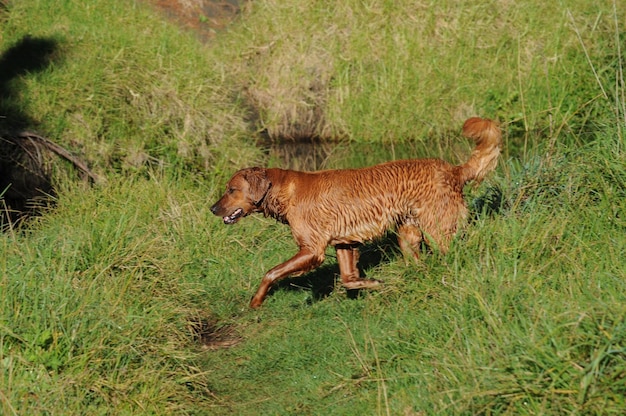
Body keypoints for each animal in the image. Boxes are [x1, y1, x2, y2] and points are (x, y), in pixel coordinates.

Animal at [212, 116, 500, 306]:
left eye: (231, 189)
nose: (212, 208)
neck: (285, 191)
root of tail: (454, 170)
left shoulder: (311, 249)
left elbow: (270, 272)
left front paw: (256, 301)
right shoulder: (344, 242)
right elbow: (349, 278)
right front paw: (373, 284)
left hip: (437, 229)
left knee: (454, 250)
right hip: (407, 233)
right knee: (418, 260)